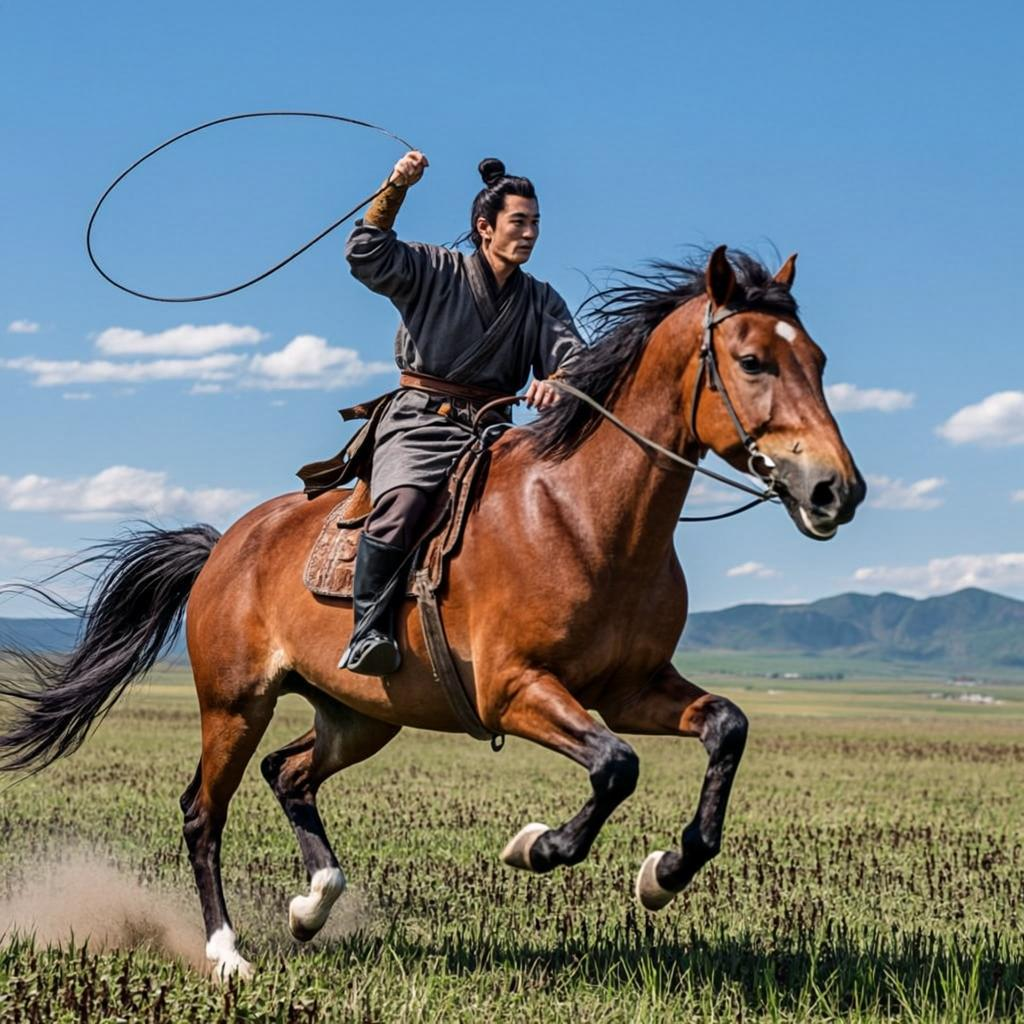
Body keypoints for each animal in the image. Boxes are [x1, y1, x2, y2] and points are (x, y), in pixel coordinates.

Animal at [0, 246, 864, 979]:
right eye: (752, 360)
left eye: (819, 361)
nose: (837, 490)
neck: (582, 516)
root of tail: (222, 548)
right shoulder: (514, 691)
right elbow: (617, 766)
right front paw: (535, 847)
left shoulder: (630, 688)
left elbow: (726, 727)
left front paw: (663, 873)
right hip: (235, 705)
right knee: (201, 813)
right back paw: (226, 954)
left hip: (360, 715)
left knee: (290, 774)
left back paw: (312, 907)